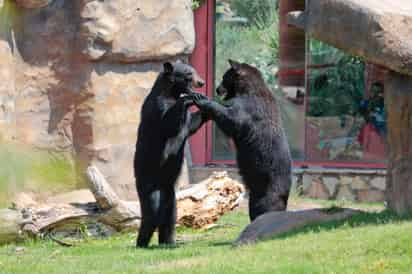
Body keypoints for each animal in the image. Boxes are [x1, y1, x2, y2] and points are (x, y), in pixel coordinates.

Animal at [134, 61, 208, 247]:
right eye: (189, 74)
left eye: (195, 71)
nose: (202, 82)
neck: (171, 92)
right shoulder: (157, 108)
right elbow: (169, 124)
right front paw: (190, 97)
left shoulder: (186, 121)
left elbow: (191, 124)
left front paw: (205, 102)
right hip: (147, 177)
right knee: (151, 211)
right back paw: (142, 242)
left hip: (169, 190)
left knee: (169, 214)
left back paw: (168, 241)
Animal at [195, 59, 292, 220]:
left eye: (224, 77)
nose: (217, 89)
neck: (246, 89)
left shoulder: (249, 108)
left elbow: (232, 120)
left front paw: (203, 100)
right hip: (256, 192)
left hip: (268, 189)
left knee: (265, 208)